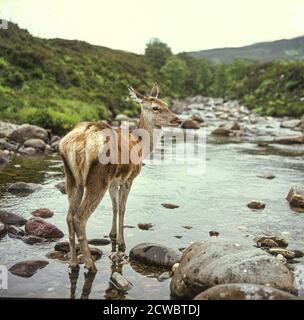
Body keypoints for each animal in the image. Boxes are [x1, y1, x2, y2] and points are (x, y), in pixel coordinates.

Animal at [58, 83, 180, 272]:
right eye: (155, 107)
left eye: (166, 103)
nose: (178, 120)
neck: (141, 147)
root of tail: (75, 144)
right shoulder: (129, 178)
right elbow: (122, 208)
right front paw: (122, 243)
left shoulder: (113, 182)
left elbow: (114, 206)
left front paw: (112, 234)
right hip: (97, 178)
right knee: (79, 218)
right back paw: (90, 264)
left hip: (72, 178)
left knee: (69, 216)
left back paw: (73, 263)